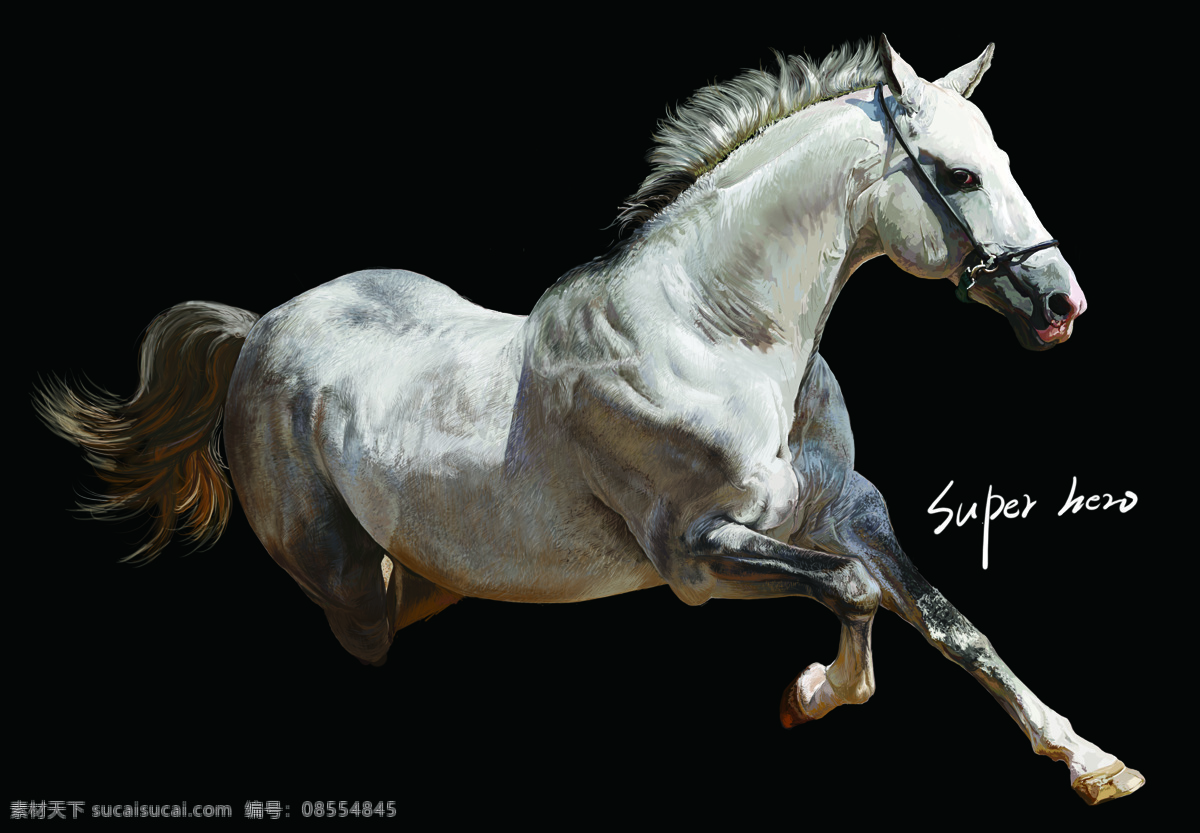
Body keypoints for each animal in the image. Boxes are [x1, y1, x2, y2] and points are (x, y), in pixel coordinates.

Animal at [35, 35, 1142, 805]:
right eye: (958, 175)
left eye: (1003, 157)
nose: (1061, 304)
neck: (720, 334)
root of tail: (261, 326)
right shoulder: (696, 554)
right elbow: (857, 593)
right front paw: (814, 693)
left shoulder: (847, 514)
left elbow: (953, 624)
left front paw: (1092, 761)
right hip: (346, 582)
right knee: (365, 630)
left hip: (424, 574)